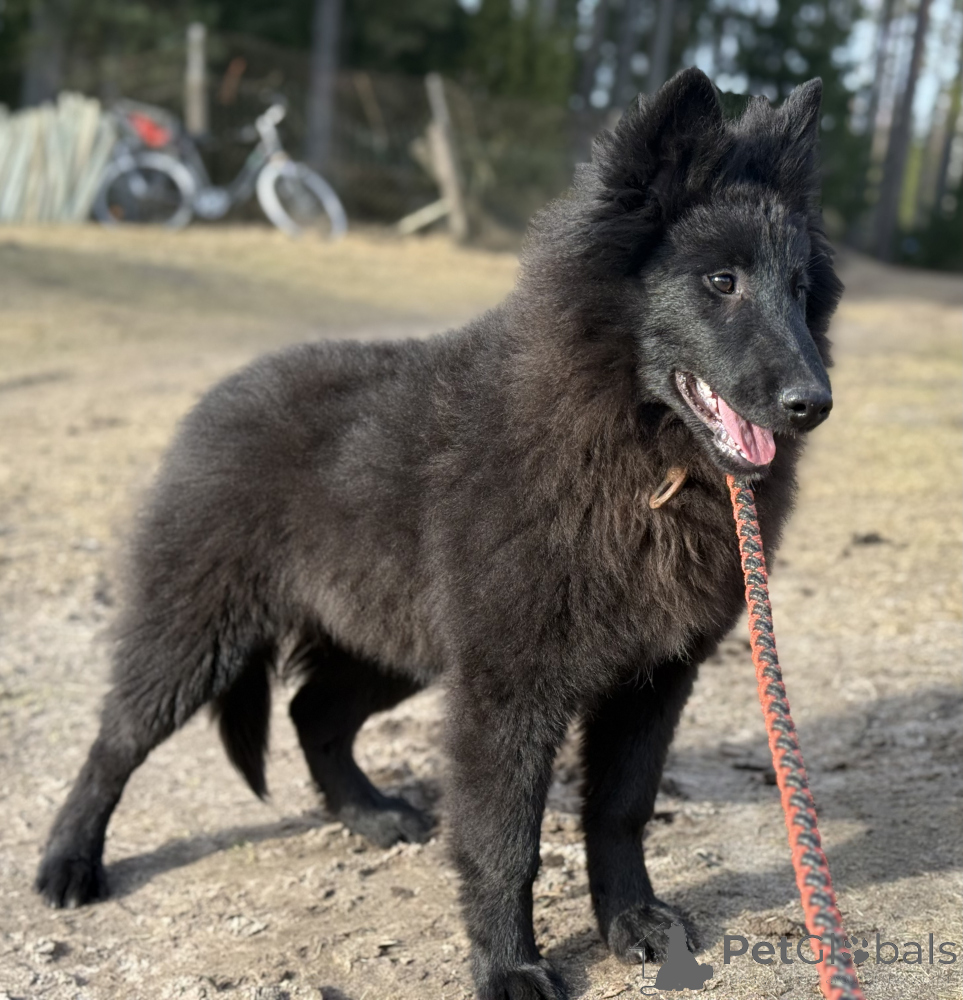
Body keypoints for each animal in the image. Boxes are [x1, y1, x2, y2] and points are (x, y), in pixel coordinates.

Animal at [36, 68, 841, 1000]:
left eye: (799, 289)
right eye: (720, 281)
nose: (813, 404)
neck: (636, 459)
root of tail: (217, 398)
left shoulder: (654, 677)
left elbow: (620, 807)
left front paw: (633, 920)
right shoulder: (505, 687)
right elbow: (503, 843)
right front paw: (509, 966)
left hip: (387, 638)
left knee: (313, 712)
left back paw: (369, 815)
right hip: (197, 631)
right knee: (116, 741)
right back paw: (67, 864)